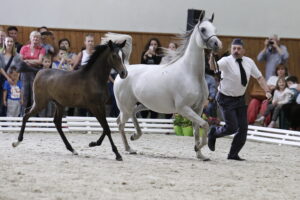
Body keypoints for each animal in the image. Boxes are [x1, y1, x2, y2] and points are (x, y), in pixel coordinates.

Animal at [111, 11, 221, 160]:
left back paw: (134, 137)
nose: (217, 44)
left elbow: (198, 130)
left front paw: (200, 155)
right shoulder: (183, 109)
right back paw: (129, 148)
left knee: (130, 115)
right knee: (120, 123)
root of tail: (126, 68)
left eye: (215, 29)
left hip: (141, 105)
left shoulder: (198, 109)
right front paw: (198, 148)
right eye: (203, 29)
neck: (190, 74)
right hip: (126, 107)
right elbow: (205, 124)